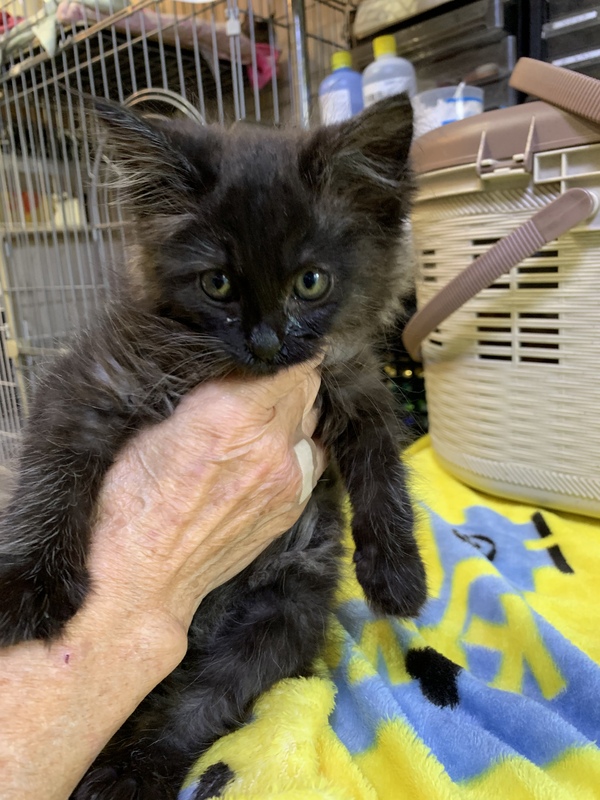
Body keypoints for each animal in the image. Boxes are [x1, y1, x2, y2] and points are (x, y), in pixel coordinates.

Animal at [0, 93, 426, 798]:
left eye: (311, 282)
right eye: (218, 284)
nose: (266, 342)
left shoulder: (352, 380)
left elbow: (381, 465)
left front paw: (398, 574)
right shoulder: (92, 379)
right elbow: (48, 477)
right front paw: (28, 585)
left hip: (283, 617)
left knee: (202, 705)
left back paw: (128, 775)